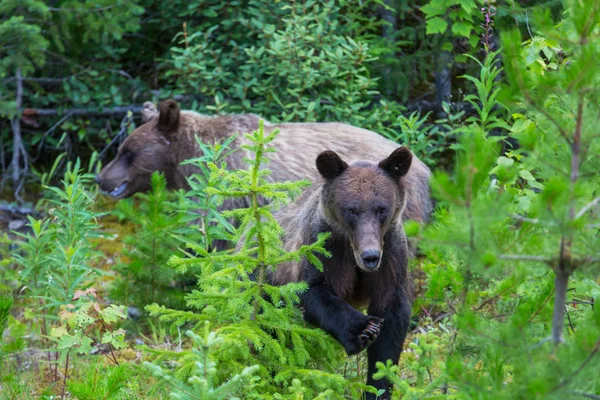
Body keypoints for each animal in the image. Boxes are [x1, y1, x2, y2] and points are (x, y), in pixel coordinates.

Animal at [274, 148, 414, 400]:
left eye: (381, 209)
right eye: (352, 210)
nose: (370, 256)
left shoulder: (391, 255)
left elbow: (392, 317)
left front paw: (379, 386)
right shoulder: (323, 247)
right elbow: (313, 291)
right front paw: (364, 330)